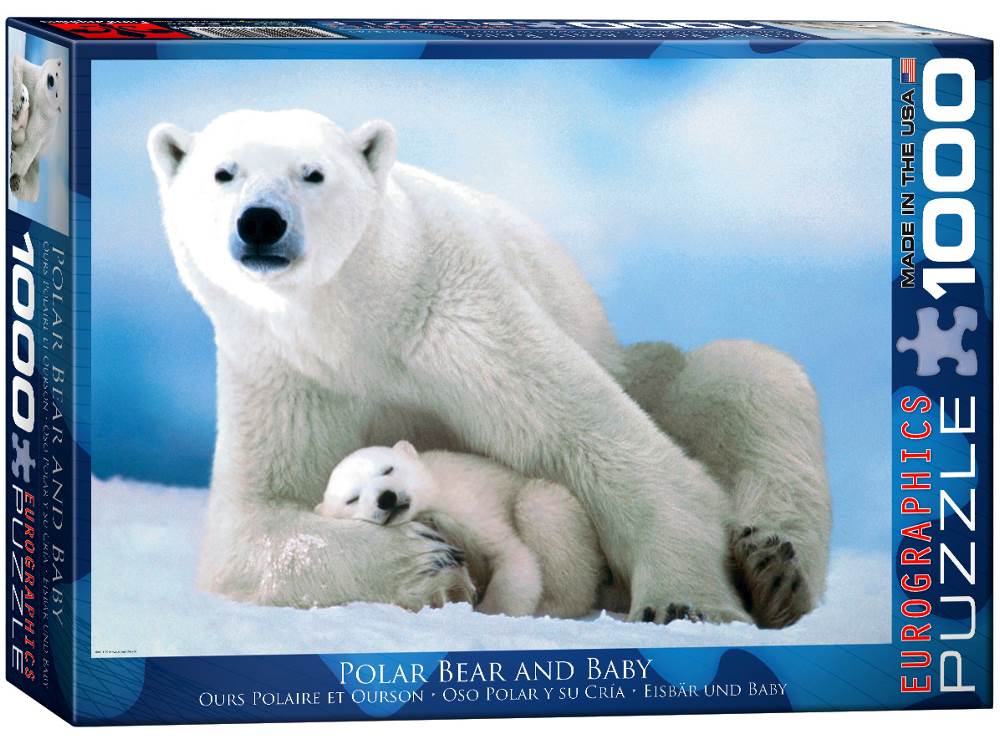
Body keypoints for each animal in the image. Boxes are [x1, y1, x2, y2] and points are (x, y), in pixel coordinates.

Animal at [9, 55, 65, 202]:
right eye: (57, 74)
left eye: (57, 94)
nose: (50, 80)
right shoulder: (33, 77)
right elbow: (19, 64)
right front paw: (17, 100)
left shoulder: (44, 120)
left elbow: (31, 142)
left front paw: (13, 161)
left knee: (32, 191)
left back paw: (16, 183)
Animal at [316, 441, 608, 619]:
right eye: (352, 498)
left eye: (388, 469)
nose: (386, 498)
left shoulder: (467, 504)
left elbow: (512, 556)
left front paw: (491, 611)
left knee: (540, 503)